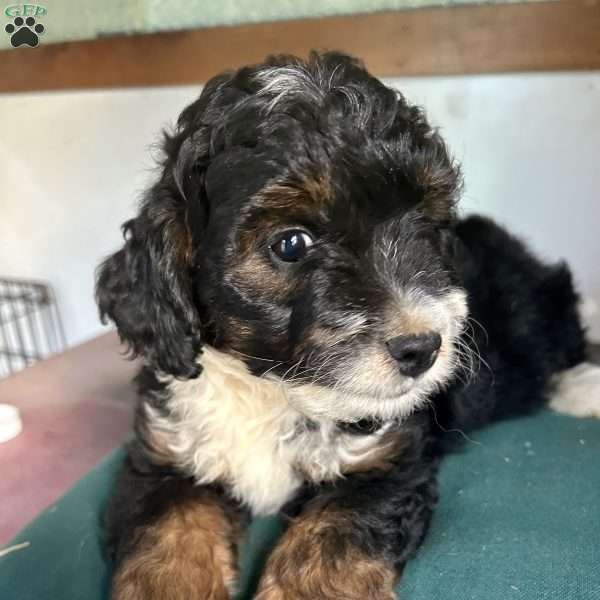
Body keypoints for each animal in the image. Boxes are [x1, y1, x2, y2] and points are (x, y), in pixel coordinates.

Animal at [96, 52, 596, 600]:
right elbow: (165, 533)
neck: (273, 389)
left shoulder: (385, 464)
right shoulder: (164, 453)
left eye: (425, 226)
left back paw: (583, 387)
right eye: (291, 243)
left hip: (531, 313)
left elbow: (328, 543)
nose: (423, 348)